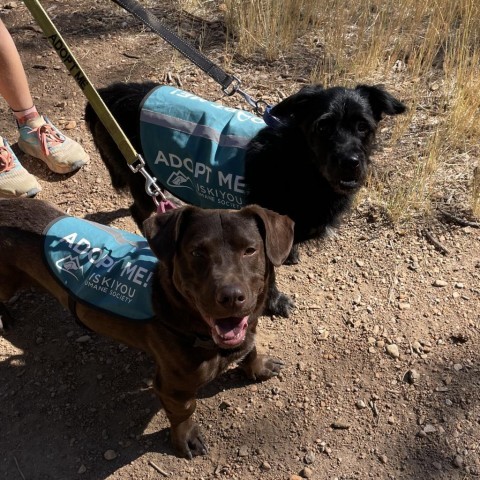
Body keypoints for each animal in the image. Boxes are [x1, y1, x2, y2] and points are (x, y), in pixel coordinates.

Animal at [85, 81, 404, 316]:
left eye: (363, 127)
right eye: (323, 126)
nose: (350, 162)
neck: (298, 159)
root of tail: (106, 94)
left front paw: (291, 253)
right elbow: (270, 277)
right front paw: (276, 303)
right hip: (139, 174)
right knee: (140, 211)